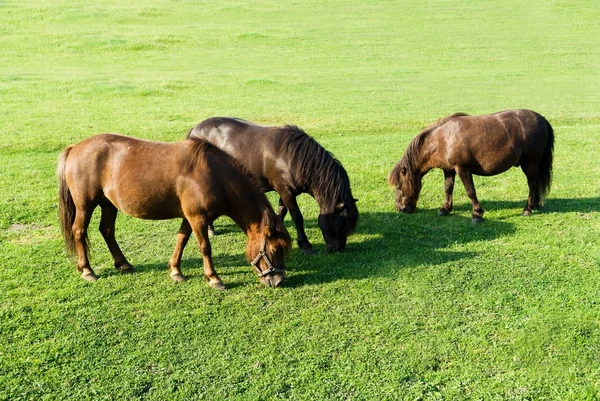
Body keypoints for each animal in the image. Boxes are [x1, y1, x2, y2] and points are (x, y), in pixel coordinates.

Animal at [57, 134, 292, 288]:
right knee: (79, 231)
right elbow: (205, 247)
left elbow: (182, 239)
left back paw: (123, 264)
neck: (214, 174)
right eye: (274, 249)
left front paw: (176, 271)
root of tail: (75, 148)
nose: (278, 281)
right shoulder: (197, 217)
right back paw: (87, 270)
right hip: (85, 205)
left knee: (107, 231)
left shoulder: (189, 217)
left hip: (108, 204)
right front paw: (213, 278)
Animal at [185, 116, 358, 253]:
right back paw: (210, 228)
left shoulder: (286, 192)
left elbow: (281, 212)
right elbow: (297, 217)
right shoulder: (285, 190)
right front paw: (305, 245)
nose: (338, 249)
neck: (293, 158)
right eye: (341, 224)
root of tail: (195, 129)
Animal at [390, 109, 552, 222]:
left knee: (532, 184)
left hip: (530, 163)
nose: (400, 208)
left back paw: (528, 209)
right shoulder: (449, 170)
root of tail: (542, 119)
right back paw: (534, 204)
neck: (444, 139)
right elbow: (448, 189)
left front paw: (477, 214)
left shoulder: (462, 169)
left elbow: (470, 191)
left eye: (399, 186)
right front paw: (445, 209)